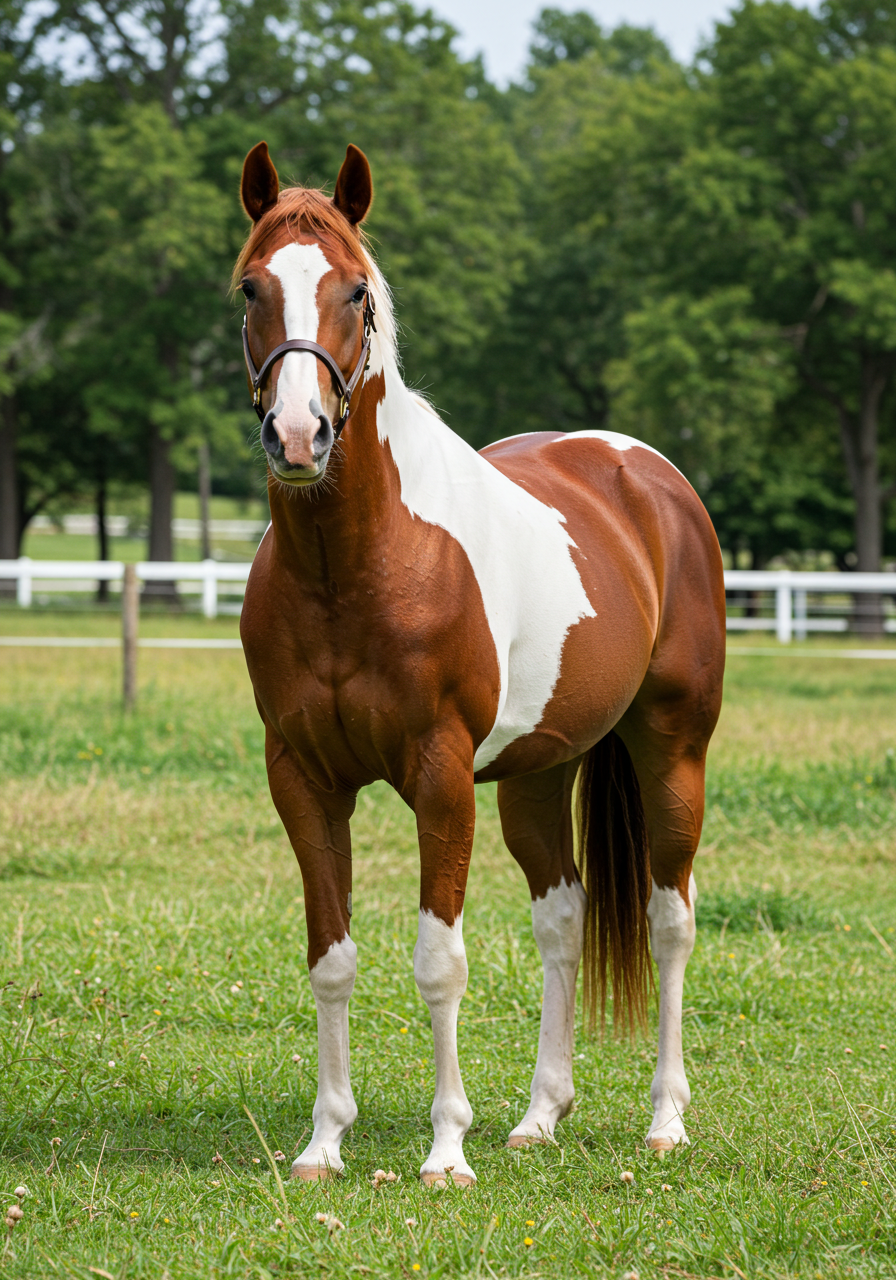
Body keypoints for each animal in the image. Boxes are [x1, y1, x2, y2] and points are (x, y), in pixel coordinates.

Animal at [236, 140, 726, 1186]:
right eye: (252, 287)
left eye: (355, 293)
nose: (299, 437)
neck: (358, 565)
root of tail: (643, 473)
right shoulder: (302, 778)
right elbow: (331, 958)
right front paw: (324, 1141)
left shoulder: (440, 776)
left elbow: (439, 961)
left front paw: (446, 1148)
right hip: (539, 775)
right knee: (563, 919)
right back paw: (541, 1116)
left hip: (672, 750)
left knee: (669, 919)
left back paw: (666, 1119)